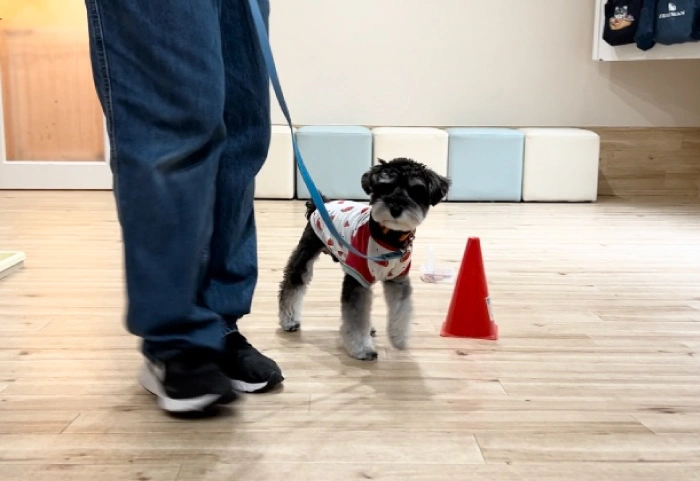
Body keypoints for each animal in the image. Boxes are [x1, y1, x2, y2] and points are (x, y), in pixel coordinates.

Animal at [277, 157, 451, 360]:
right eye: (384, 187)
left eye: (416, 190)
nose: (396, 208)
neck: (389, 238)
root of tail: (322, 203)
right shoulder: (357, 279)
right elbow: (356, 317)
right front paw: (362, 348)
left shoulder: (398, 279)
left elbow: (401, 308)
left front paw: (399, 337)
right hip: (306, 252)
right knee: (292, 284)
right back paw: (289, 320)